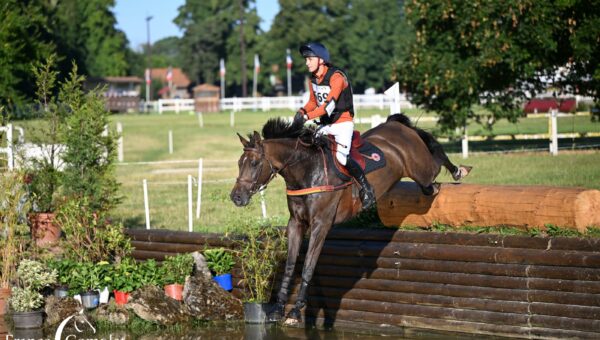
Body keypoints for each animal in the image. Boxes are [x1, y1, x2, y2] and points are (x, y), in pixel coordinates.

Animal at [230, 113, 468, 324]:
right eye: (239, 163)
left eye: (254, 163)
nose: (236, 197)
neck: (306, 170)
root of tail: (396, 126)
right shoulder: (296, 223)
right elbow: (290, 266)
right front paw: (278, 310)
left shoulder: (321, 224)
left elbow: (308, 267)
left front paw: (295, 312)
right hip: (422, 177)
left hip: (422, 171)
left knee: (436, 161)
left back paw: (459, 170)